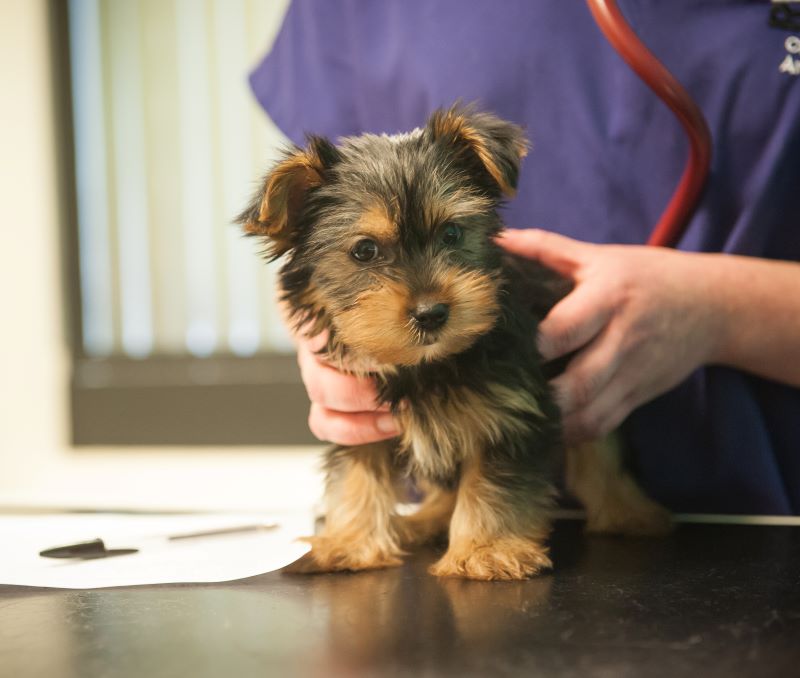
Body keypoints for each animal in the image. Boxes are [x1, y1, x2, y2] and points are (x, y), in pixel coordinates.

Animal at [238, 103, 668, 580]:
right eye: (365, 251)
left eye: (452, 233)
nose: (431, 313)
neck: (425, 365)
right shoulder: (358, 414)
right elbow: (358, 471)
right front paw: (349, 542)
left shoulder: (509, 412)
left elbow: (492, 480)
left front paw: (487, 548)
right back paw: (426, 520)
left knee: (600, 453)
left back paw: (628, 513)